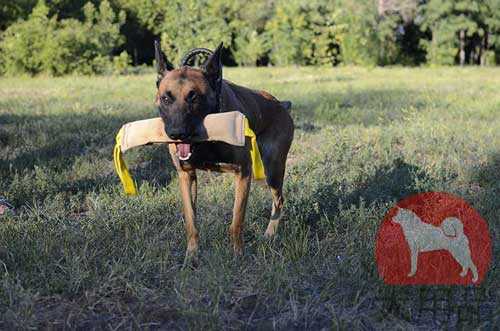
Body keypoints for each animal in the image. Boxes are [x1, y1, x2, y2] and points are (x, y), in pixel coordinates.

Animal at [153, 41, 292, 260]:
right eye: (166, 99)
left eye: (194, 98)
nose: (177, 134)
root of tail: (281, 104)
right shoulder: (186, 176)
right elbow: (191, 222)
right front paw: (191, 255)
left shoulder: (243, 174)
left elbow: (236, 222)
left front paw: (237, 254)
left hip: (272, 172)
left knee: (279, 200)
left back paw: (270, 234)